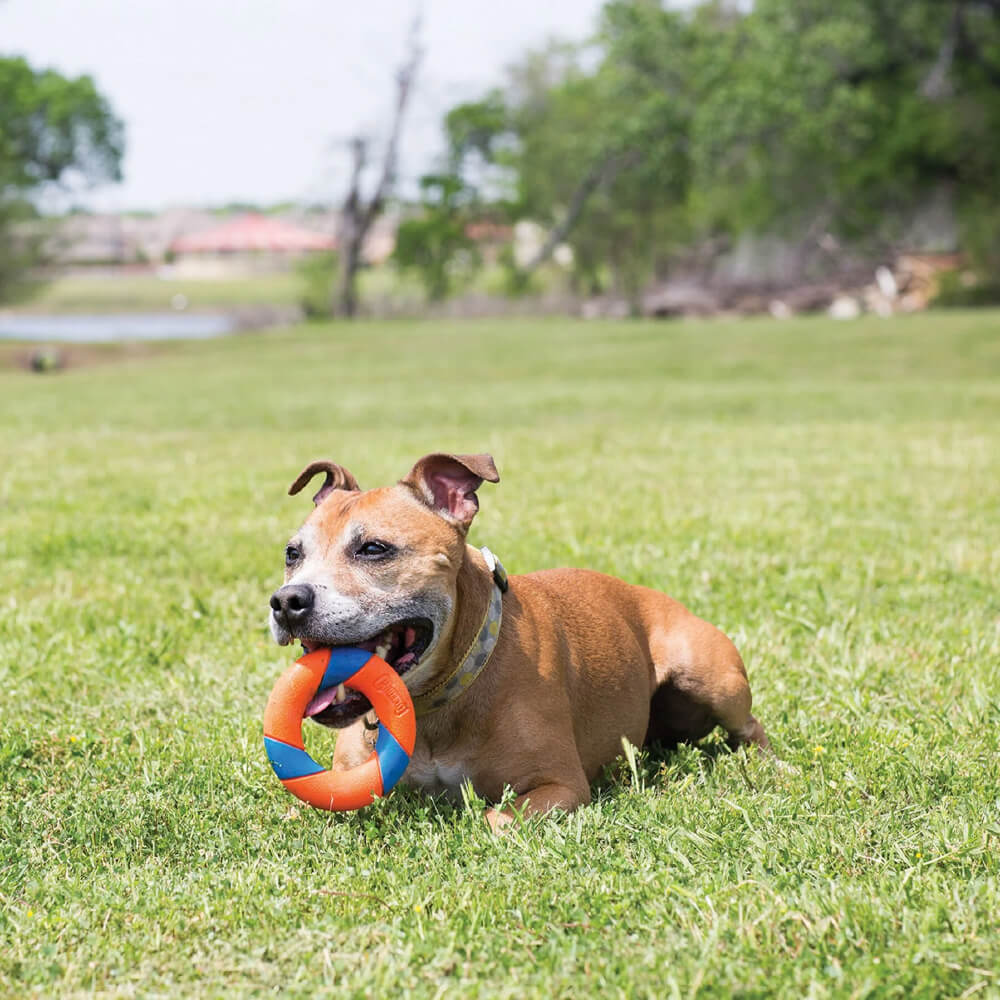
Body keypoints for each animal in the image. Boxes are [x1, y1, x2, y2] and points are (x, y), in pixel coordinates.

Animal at [270, 454, 768, 828]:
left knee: (749, 726)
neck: (438, 702)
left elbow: (494, 819)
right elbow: (299, 809)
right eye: (292, 554)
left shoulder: (560, 786)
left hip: (708, 676)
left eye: (373, 549)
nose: (287, 601)